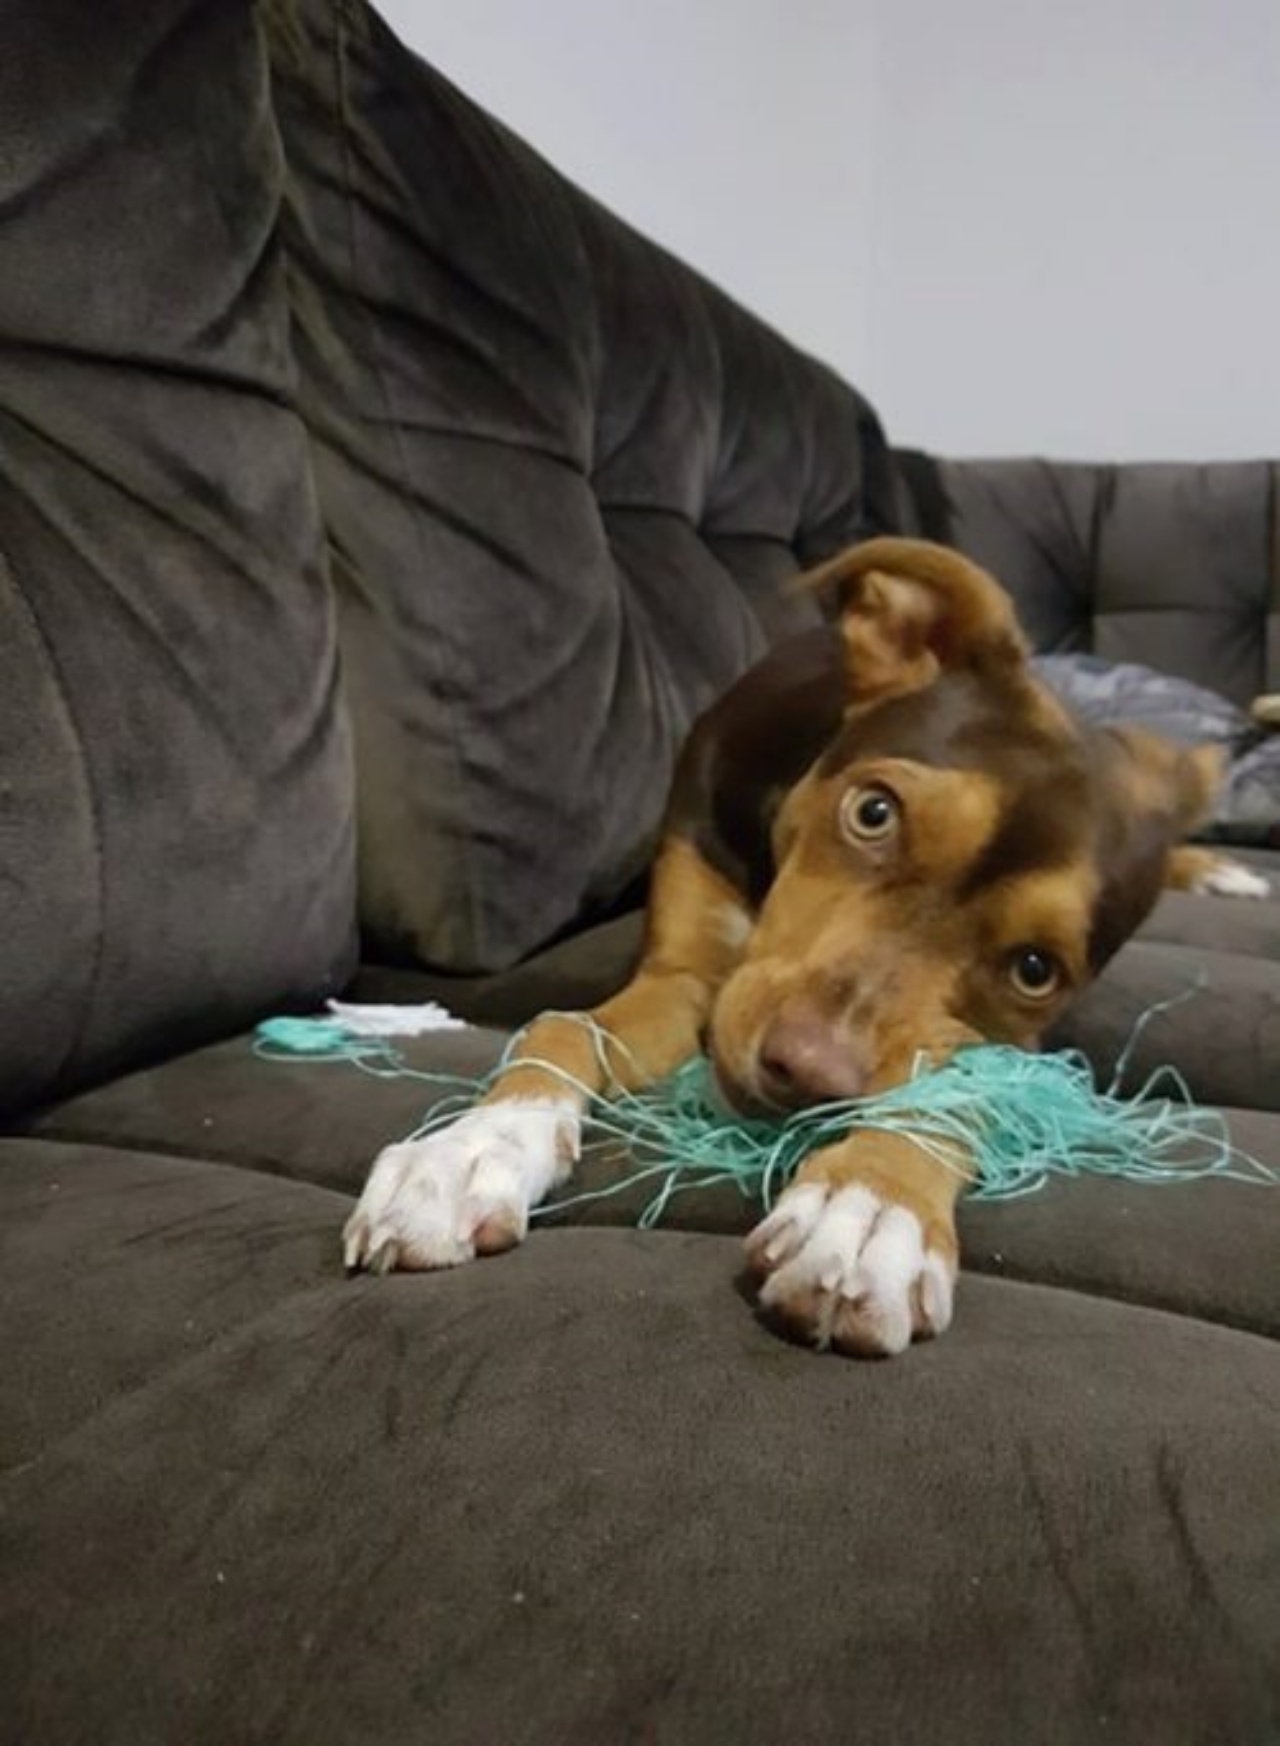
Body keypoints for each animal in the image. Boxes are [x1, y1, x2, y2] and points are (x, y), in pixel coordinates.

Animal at [342, 537, 1271, 1354]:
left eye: (1035, 970)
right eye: (873, 812)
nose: (808, 1076)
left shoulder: (1009, 1042)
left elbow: (953, 1096)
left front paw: (870, 1209)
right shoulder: (689, 975)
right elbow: (566, 1027)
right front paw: (470, 1151)